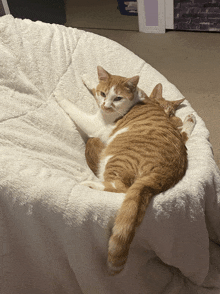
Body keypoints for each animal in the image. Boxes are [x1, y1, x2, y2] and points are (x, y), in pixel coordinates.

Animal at [55, 66, 196, 276]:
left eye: (118, 98)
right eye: (104, 94)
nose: (106, 105)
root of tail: (164, 176)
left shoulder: (95, 125)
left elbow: (72, 107)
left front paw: (57, 95)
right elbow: (97, 85)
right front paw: (89, 79)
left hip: (115, 157)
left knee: (120, 187)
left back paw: (89, 184)